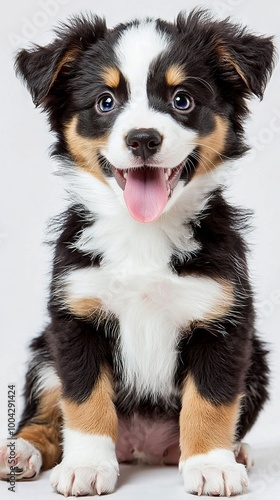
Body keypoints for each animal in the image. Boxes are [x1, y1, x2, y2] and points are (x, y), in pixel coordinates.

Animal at [0, 9, 276, 498]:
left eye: (182, 100)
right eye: (105, 102)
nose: (143, 139)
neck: (144, 234)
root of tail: (142, 447)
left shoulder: (223, 321)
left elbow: (211, 400)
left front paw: (211, 464)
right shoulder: (75, 317)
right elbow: (84, 399)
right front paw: (88, 466)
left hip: (257, 362)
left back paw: (233, 451)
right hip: (43, 353)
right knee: (46, 416)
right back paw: (24, 452)